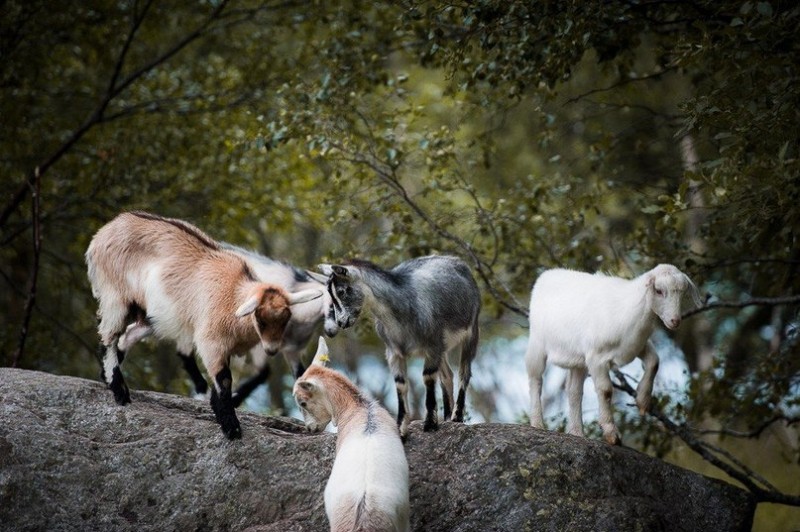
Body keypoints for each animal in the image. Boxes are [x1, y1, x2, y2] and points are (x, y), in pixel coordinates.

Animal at [86, 212, 322, 440]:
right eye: (261, 320)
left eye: (286, 319)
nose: (272, 350)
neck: (233, 294)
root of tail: (101, 235)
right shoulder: (212, 342)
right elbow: (224, 379)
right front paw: (230, 426)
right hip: (115, 296)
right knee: (109, 336)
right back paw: (119, 390)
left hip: (153, 314)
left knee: (127, 335)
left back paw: (107, 378)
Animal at [318, 255, 482, 436]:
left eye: (341, 291)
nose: (341, 322)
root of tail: (457, 261)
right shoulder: (394, 352)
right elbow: (400, 383)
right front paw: (400, 428)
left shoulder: (432, 345)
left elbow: (428, 378)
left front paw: (430, 424)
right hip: (443, 348)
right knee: (447, 374)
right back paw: (447, 417)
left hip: (471, 331)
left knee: (464, 372)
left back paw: (456, 416)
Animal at [524, 262, 700, 444]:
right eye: (658, 290)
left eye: (682, 293)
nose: (675, 321)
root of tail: (547, 275)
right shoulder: (596, 358)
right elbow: (606, 390)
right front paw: (611, 433)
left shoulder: (637, 345)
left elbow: (654, 362)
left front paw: (642, 401)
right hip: (537, 344)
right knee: (536, 380)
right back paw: (537, 423)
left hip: (578, 359)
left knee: (574, 390)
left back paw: (577, 432)